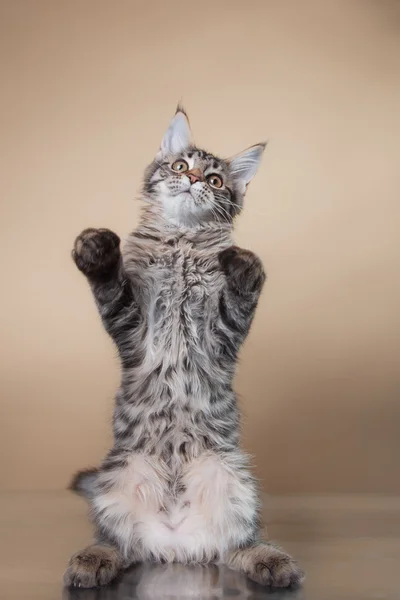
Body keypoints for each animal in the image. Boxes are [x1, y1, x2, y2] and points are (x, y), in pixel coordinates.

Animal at [65, 105, 304, 588]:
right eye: (179, 166)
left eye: (215, 180)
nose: (193, 179)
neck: (182, 242)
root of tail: (174, 544)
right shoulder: (131, 327)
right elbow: (110, 287)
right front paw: (96, 250)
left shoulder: (222, 336)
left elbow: (243, 290)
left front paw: (243, 264)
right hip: (116, 478)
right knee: (118, 541)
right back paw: (92, 559)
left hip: (235, 481)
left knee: (235, 545)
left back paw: (272, 562)